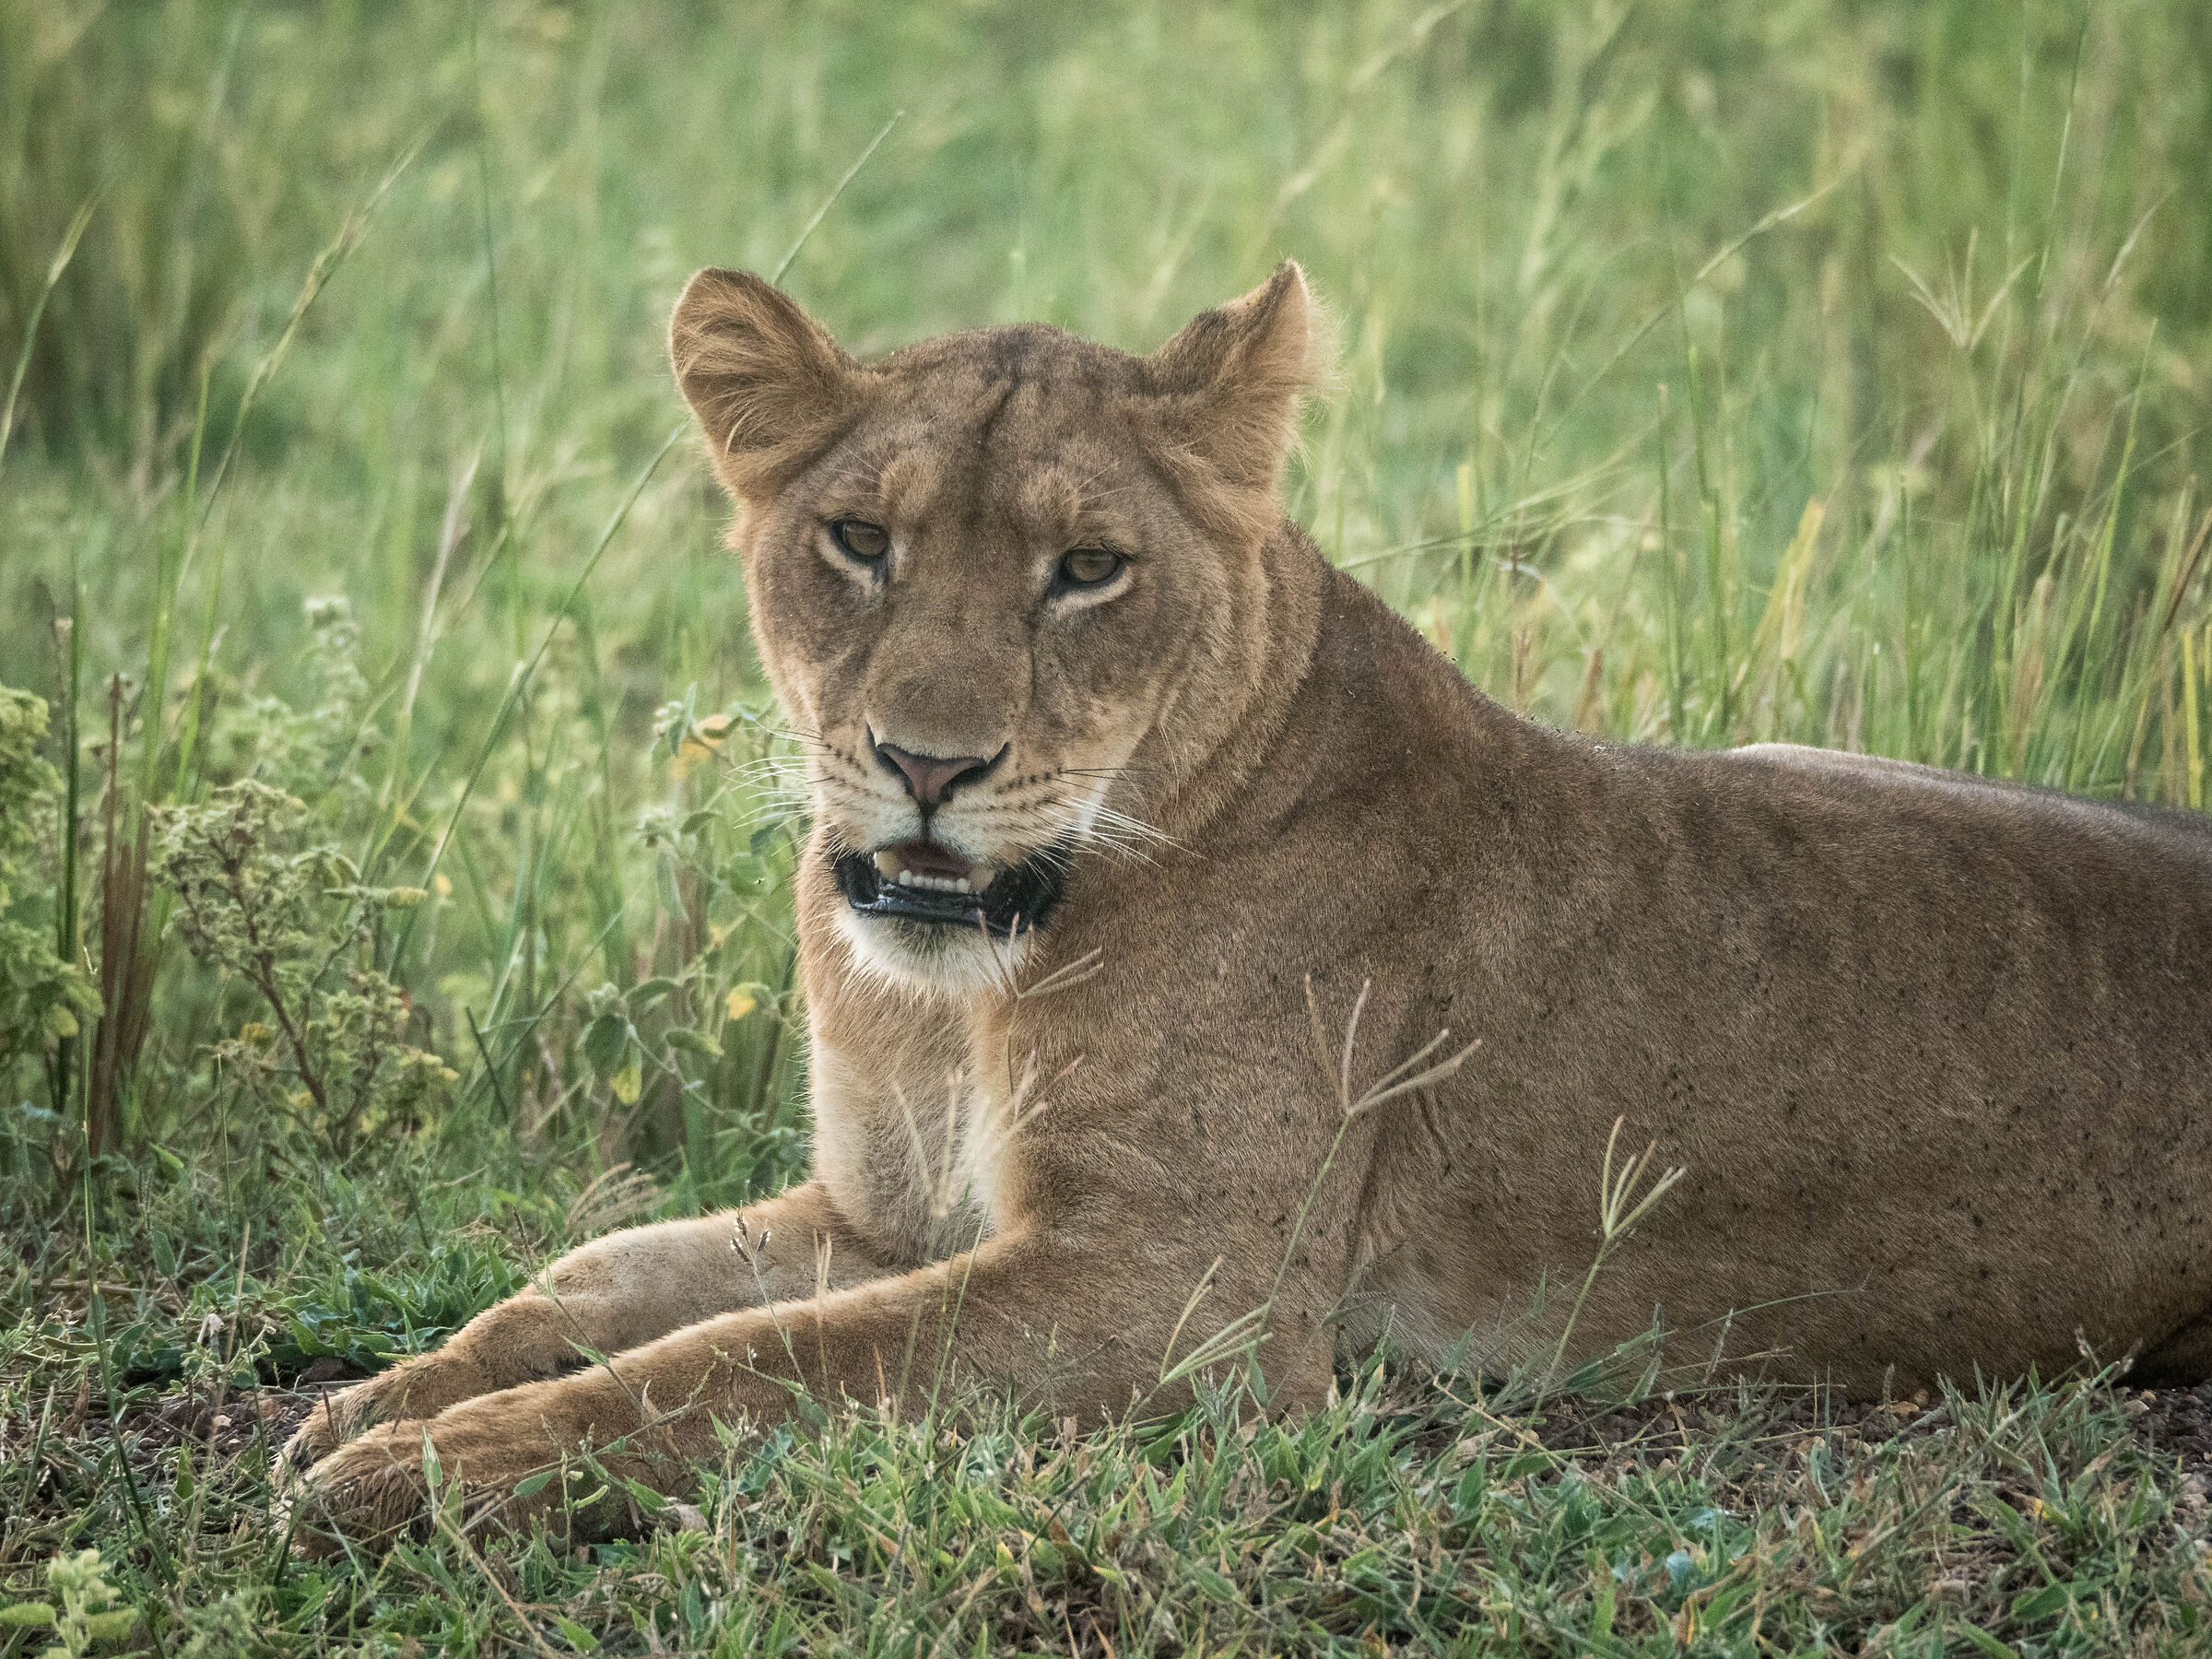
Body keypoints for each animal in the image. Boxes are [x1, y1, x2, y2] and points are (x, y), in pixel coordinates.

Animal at [282, 261, 2212, 1548]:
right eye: (858, 542)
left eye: (1087, 569)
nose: (925, 765)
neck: (956, 992)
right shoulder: (882, 1214)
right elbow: (597, 1282)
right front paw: (378, 1404)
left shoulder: (1175, 1297)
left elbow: (752, 1367)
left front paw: (430, 1469)